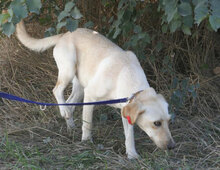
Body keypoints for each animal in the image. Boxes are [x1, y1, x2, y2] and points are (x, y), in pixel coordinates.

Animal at [15, 20, 175, 159]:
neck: (127, 76)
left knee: (70, 103)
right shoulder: (90, 96)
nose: (172, 146)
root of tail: (65, 34)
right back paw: (64, 111)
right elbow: (87, 124)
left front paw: (132, 154)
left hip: (79, 87)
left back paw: (70, 125)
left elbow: (129, 136)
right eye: (156, 123)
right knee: (57, 90)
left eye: (169, 121)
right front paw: (86, 142)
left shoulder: (126, 110)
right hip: (68, 70)